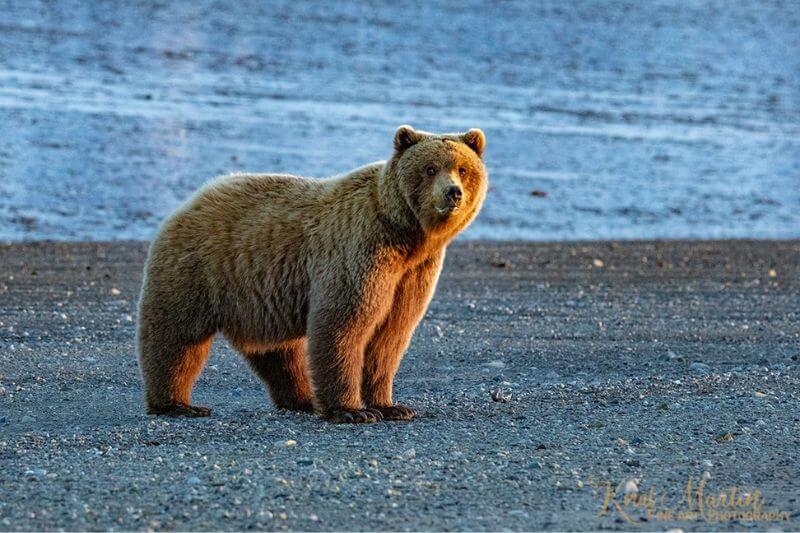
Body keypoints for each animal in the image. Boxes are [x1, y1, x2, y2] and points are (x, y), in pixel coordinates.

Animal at [138, 123, 488, 420]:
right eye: (430, 168)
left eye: (462, 168)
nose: (452, 192)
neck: (408, 235)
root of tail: (191, 199)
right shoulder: (362, 250)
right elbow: (344, 323)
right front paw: (350, 411)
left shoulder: (413, 272)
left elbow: (391, 334)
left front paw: (391, 406)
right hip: (198, 269)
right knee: (177, 337)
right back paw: (176, 403)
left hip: (256, 298)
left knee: (278, 354)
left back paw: (301, 398)